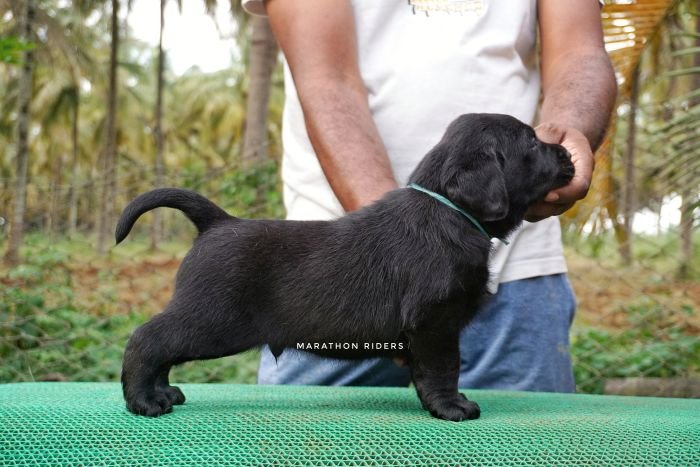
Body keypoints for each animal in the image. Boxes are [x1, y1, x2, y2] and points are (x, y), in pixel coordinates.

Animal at [116, 114, 576, 424]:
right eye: (531, 143)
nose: (569, 152)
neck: (451, 210)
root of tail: (216, 222)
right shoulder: (436, 323)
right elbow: (444, 369)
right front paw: (452, 406)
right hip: (212, 319)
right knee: (148, 340)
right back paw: (145, 400)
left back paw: (162, 392)